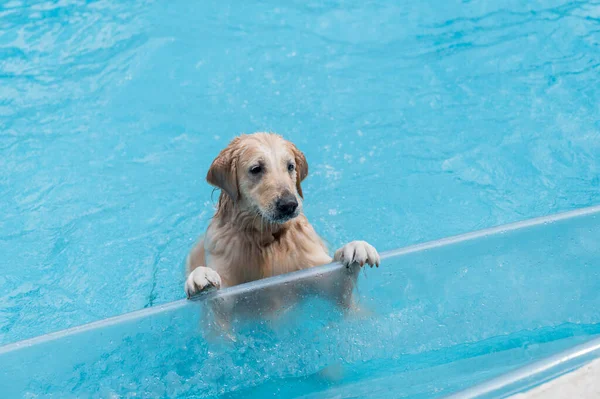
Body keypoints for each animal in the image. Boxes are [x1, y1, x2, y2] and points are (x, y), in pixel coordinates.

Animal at [184, 133, 380, 304]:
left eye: (290, 166)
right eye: (256, 169)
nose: (289, 204)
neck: (266, 238)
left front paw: (355, 247)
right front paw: (200, 277)